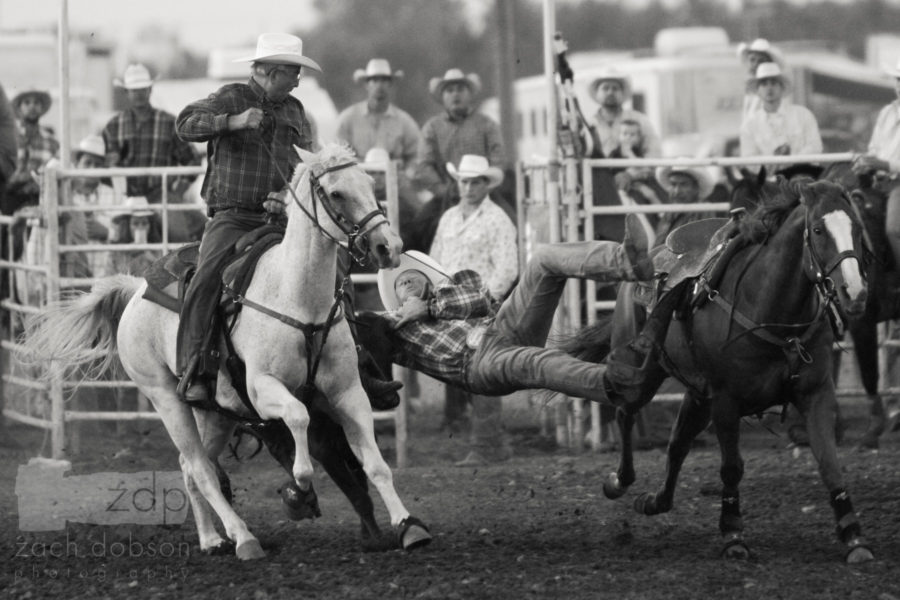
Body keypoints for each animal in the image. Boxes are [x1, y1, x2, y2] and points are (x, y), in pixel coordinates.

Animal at [21, 143, 428, 560]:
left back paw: (211, 538)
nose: (388, 247)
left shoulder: (347, 392)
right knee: (201, 469)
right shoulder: (264, 391)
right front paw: (299, 490)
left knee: (191, 466)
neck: (296, 298)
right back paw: (243, 538)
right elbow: (298, 419)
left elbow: (374, 465)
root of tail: (135, 290)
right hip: (165, 398)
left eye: (370, 184)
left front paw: (408, 526)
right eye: (336, 192)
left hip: (216, 413)